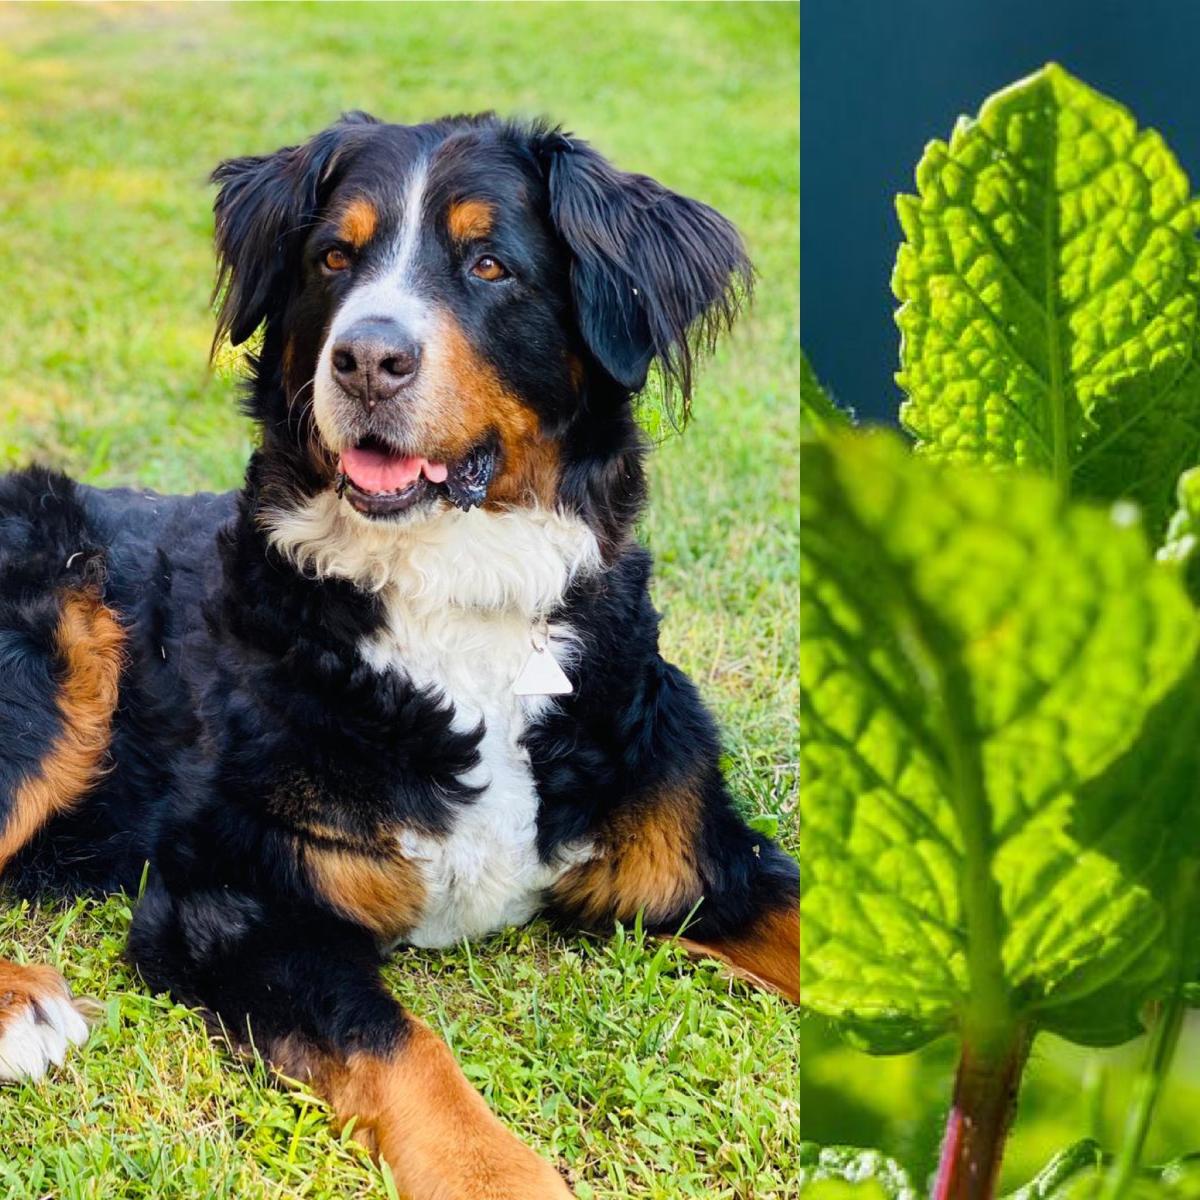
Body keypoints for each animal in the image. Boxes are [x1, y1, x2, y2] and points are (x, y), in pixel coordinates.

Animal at [4, 114, 801, 1200]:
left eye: (490, 263)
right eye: (333, 258)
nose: (367, 359)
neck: (457, 599)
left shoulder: (701, 859)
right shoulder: (238, 900)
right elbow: (406, 1049)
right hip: (57, 643)